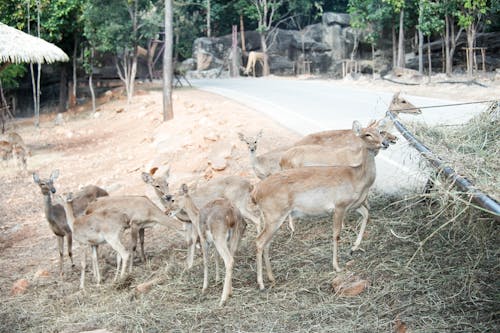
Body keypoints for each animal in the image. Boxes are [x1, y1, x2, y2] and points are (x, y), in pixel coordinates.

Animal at [252, 119, 388, 288]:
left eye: (380, 132)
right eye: (367, 134)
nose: (385, 143)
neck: (357, 178)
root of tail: (255, 193)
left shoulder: (355, 205)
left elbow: (367, 214)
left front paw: (353, 248)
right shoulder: (339, 205)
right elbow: (336, 234)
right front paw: (337, 266)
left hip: (273, 217)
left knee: (267, 243)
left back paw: (272, 277)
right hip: (274, 214)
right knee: (259, 241)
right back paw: (261, 283)